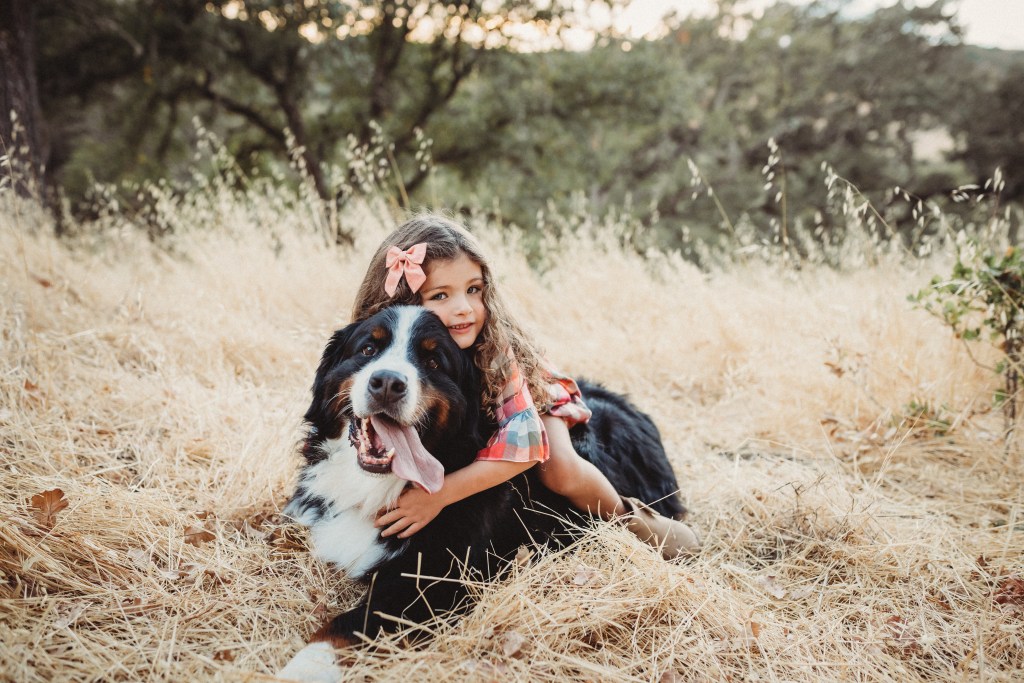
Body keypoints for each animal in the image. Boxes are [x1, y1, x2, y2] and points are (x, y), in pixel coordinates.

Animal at [276, 307, 684, 679]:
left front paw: (304, 667)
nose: (387, 383)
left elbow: (346, 625)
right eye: (367, 349)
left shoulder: (431, 583)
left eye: (433, 360)